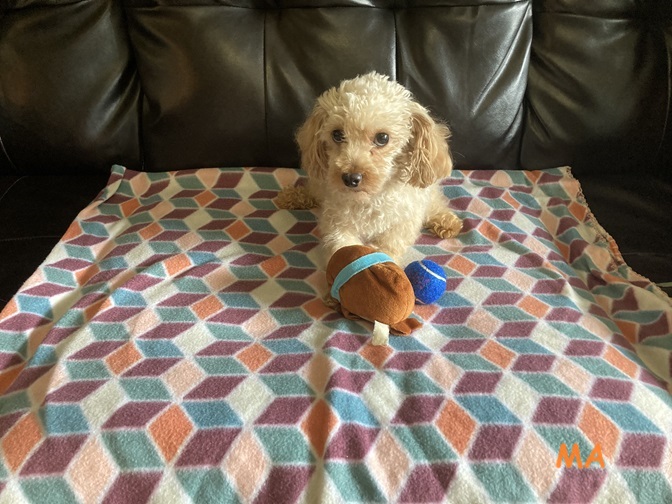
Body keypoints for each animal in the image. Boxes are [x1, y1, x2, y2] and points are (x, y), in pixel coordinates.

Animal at [276, 72, 462, 262]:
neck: (369, 199)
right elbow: (342, 247)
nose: (350, 178)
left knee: (435, 201)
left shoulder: (403, 222)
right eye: (337, 134)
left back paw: (446, 221)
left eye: (382, 138)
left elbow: (389, 244)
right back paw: (292, 196)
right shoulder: (336, 222)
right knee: (313, 189)